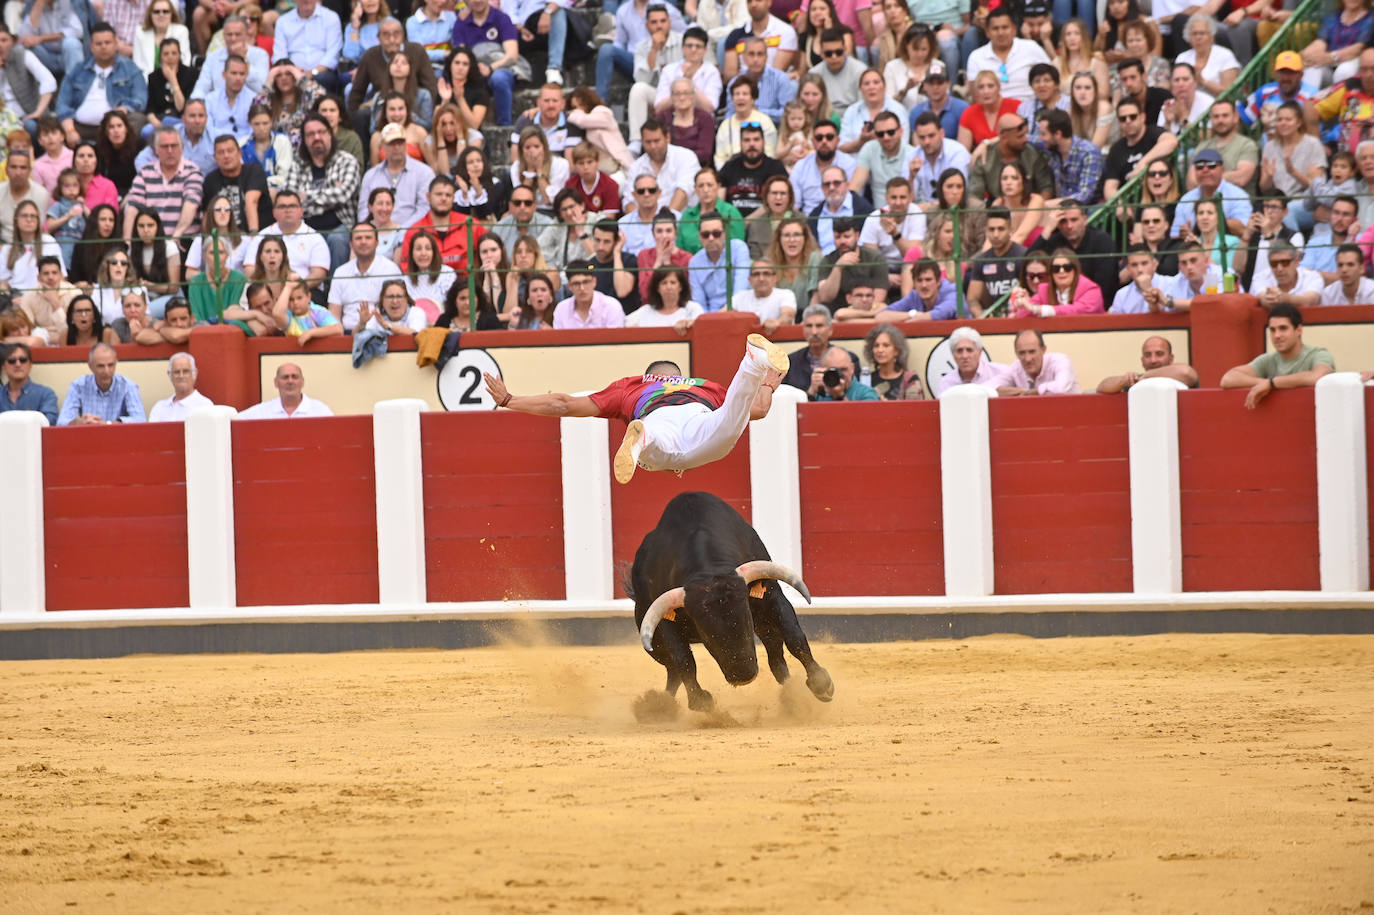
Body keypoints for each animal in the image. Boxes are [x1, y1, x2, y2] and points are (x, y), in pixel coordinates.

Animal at [629, 489, 829, 708]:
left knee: (775, 654)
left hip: (764, 621)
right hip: (654, 644)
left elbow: (794, 637)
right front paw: (701, 702)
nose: (743, 676)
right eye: (705, 633)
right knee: (672, 669)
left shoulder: (771, 596)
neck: (709, 572)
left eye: (747, 619)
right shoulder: (666, 621)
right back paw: (660, 706)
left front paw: (821, 684)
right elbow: (684, 661)